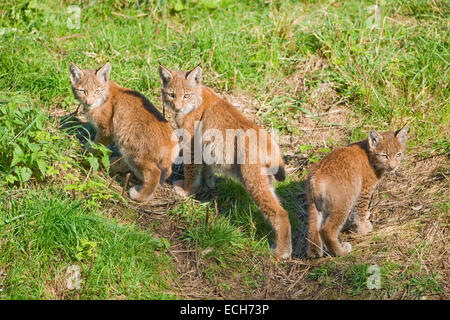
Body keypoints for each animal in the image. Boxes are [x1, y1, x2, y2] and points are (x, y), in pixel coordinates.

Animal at [68, 62, 178, 201]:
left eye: (97, 91)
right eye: (83, 91)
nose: (89, 102)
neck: (104, 95)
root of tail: (173, 141)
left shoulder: (106, 130)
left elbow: (97, 144)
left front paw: (89, 150)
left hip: (134, 150)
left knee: (154, 172)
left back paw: (139, 195)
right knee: (166, 172)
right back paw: (116, 165)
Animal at [158, 65, 292, 260]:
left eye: (186, 95)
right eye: (171, 94)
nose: (177, 106)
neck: (199, 95)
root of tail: (268, 139)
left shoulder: (192, 146)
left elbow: (191, 171)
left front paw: (187, 191)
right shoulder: (205, 148)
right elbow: (206, 170)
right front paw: (209, 185)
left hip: (252, 180)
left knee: (280, 213)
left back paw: (281, 253)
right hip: (266, 180)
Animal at [306, 126, 408, 258]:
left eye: (398, 154)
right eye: (384, 156)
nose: (393, 167)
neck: (370, 154)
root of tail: (317, 174)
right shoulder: (364, 189)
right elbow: (360, 209)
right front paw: (363, 228)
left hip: (314, 204)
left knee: (312, 228)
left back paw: (315, 253)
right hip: (344, 201)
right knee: (326, 229)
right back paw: (340, 251)